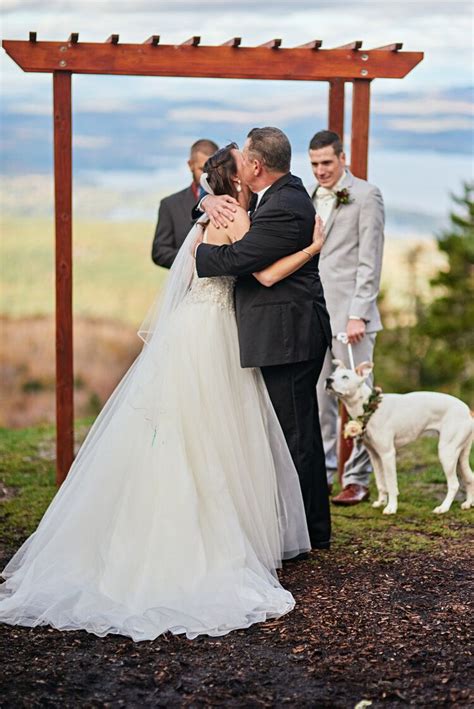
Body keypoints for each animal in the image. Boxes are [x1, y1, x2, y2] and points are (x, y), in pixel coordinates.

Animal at [326, 360, 474, 516]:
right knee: (470, 478)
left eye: (345, 377)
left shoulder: (387, 454)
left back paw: (443, 507)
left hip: (447, 453)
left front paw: (391, 507)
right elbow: (381, 483)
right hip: (459, 456)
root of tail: (467, 409)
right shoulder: (375, 456)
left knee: (454, 484)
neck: (369, 407)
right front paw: (381, 502)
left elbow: (391, 485)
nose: (328, 380)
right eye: (333, 374)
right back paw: (468, 503)